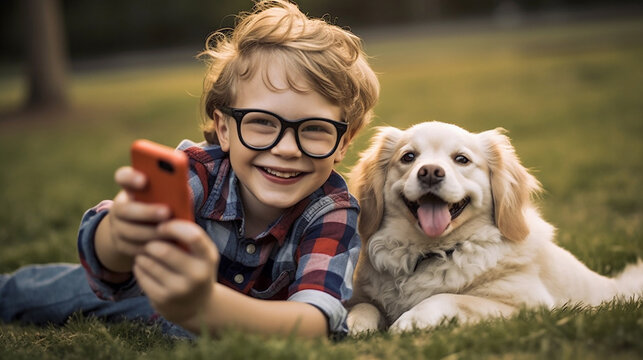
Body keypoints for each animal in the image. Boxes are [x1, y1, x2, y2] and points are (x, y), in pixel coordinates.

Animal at [348, 122, 643, 334]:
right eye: (408, 157)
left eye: (462, 159)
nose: (430, 171)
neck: (432, 252)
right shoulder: (367, 297)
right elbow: (364, 306)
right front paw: (353, 323)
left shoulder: (529, 306)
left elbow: (448, 297)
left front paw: (411, 319)